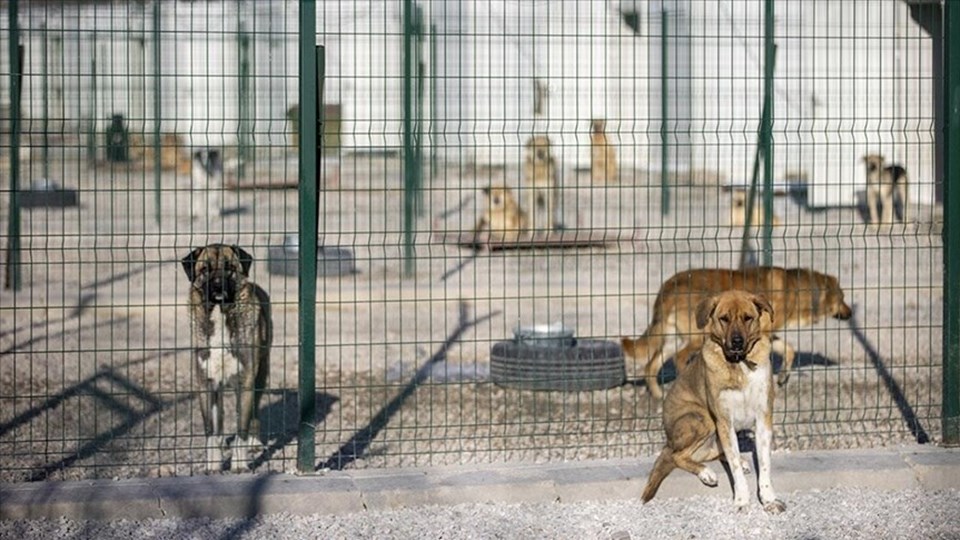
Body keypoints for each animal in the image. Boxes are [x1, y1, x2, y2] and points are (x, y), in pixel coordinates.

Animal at [181, 243, 272, 470]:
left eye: (229, 267)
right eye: (205, 269)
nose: (217, 285)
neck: (221, 314)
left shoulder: (246, 382)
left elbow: (241, 428)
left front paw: (239, 464)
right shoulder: (205, 383)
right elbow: (210, 430)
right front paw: (213, 465)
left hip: (261, 375)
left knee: (254, 413)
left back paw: (254, 442)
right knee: (219, 415)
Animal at [624, 266, 856, 398]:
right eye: (842, 298)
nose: (851, 313)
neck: (798, 290)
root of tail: (669, 285)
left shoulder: (765, 335)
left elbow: (789, 349)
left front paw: (783, 377)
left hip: (671, 338)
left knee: (651, 365)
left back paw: (658, 395)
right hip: (697, 337)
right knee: (679, 358)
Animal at [640, 292, 784, 516]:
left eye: (748, 318)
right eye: (724, 318)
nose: (736, 342)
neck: (739, 365)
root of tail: (668, 440)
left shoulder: (763, 419)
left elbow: (764, 465)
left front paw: (769, 499)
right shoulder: (724, 421)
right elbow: (734, 468)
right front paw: (741, 500)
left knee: (712, 454)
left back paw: (739, 462)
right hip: (703, 419)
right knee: (677, 456)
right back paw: (706, 473)